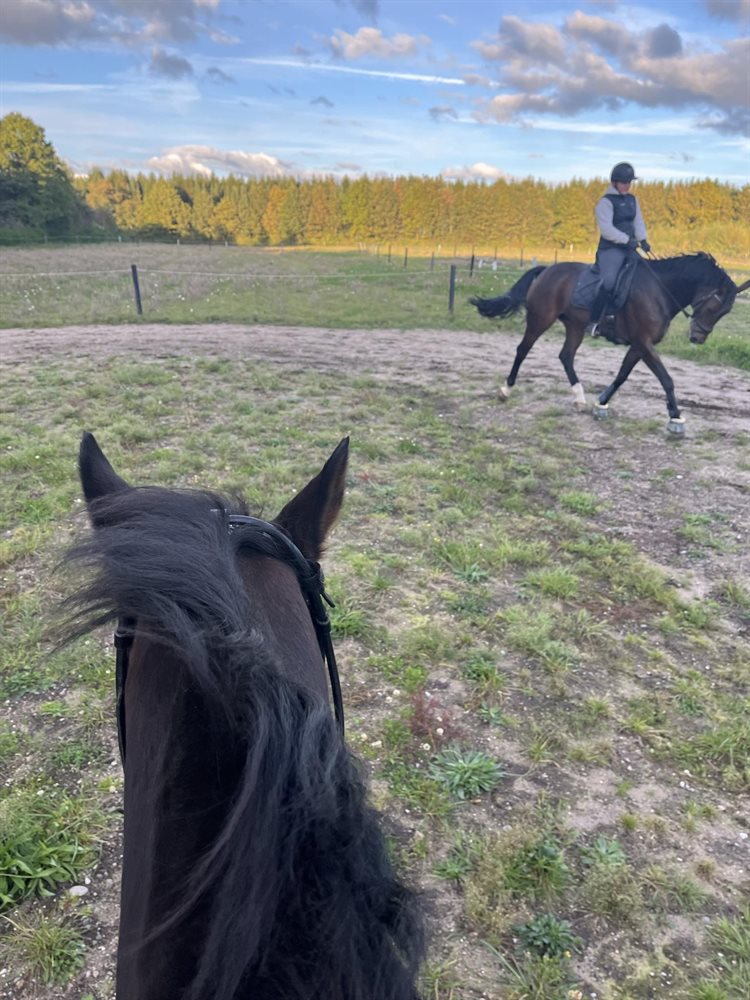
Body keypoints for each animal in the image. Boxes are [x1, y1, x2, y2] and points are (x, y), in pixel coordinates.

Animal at [471, 252, 749, 434]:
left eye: (725, 312)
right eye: (715, 306)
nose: (697, 338)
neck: (659, 290)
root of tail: (548, 270)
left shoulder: (639, 345)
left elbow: (622, 375)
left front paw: (601, 403)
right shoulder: (644, 343)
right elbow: (666, 378)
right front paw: (676, 417)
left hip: (575, 326)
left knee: (566, 356)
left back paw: (579, 399)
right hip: (541, 319)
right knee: (523, 350)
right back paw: (506, 390)